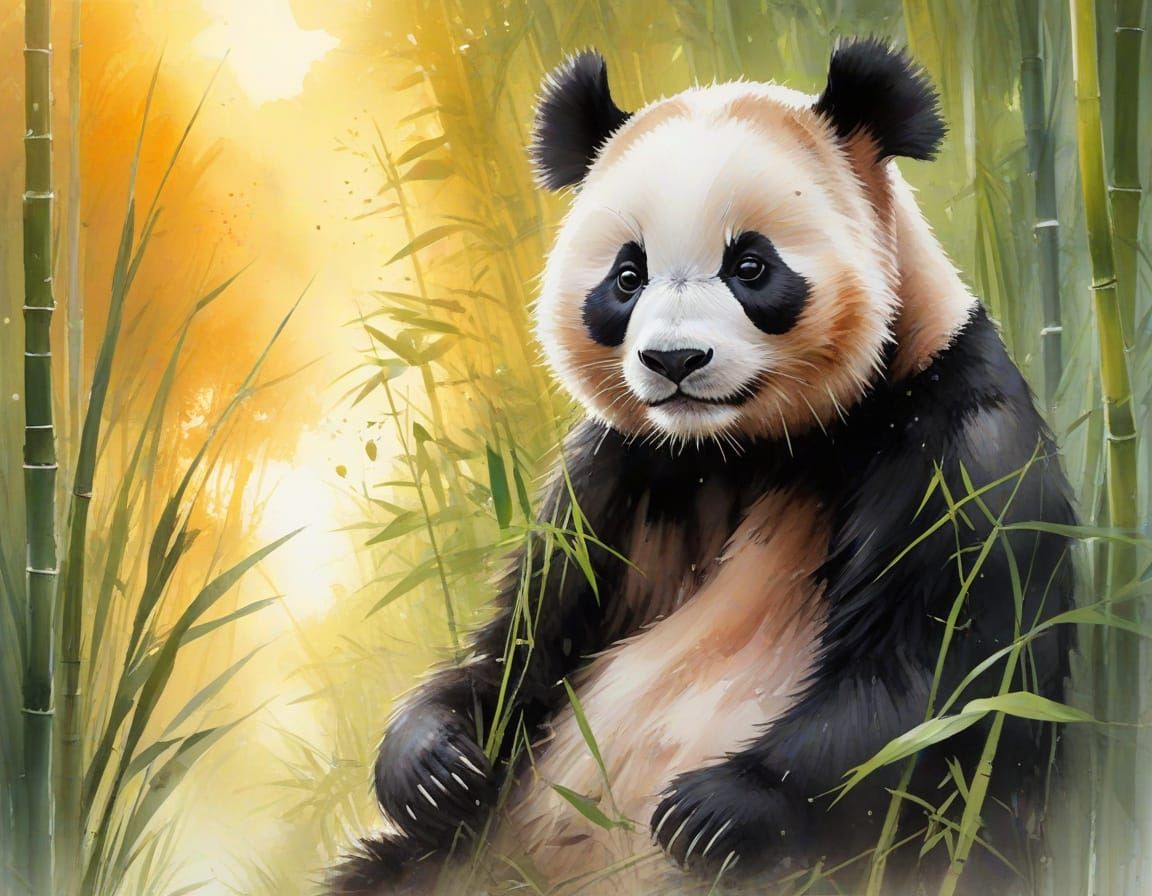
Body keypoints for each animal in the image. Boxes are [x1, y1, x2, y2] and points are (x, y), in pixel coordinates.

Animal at [330, 38, 1075, 896]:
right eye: (627, 277)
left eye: (750, 266)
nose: (674, 360)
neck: (753, 442)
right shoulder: (619, 469)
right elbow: (527, 641)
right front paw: (431, 760)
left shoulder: (957, 435)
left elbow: (947, 675)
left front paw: (716, 810)